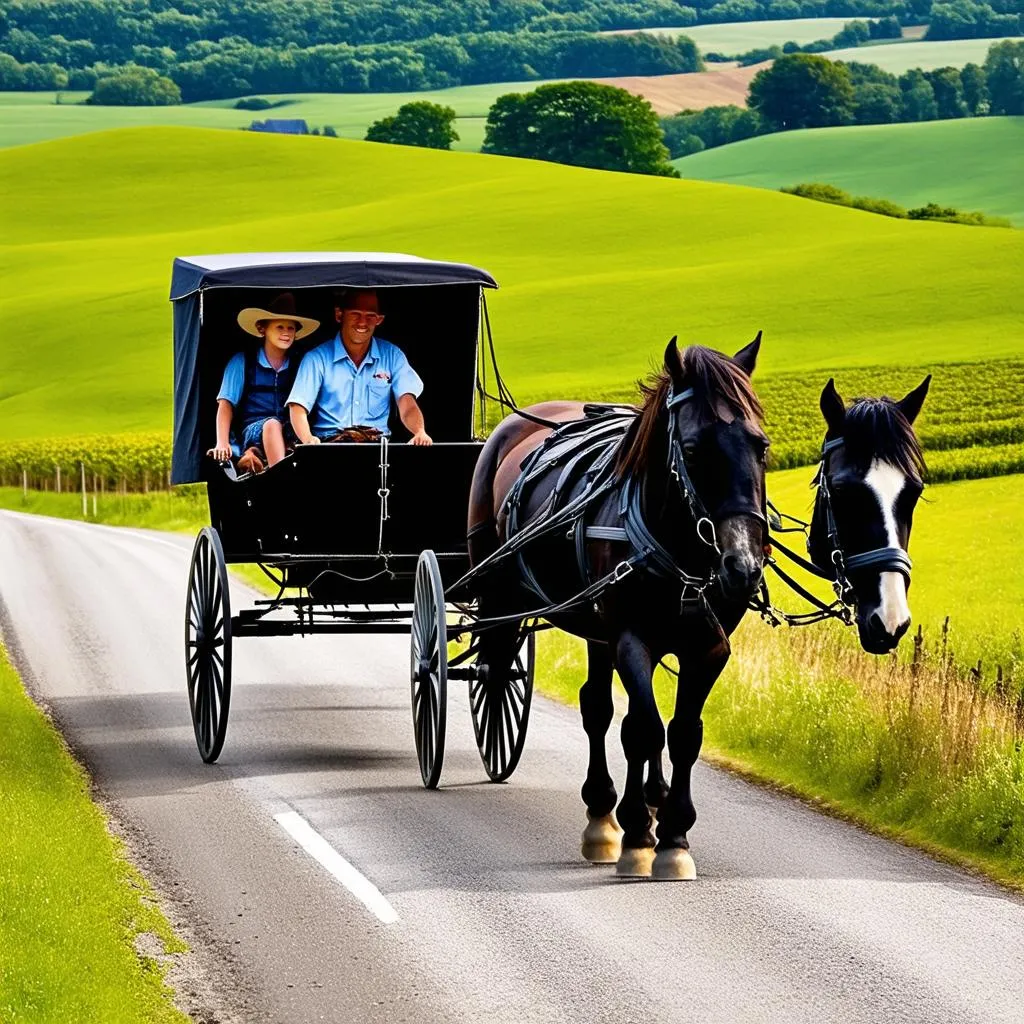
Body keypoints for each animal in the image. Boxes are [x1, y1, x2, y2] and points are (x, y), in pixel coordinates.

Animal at [466, 337, 770, 880]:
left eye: (761, 446)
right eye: (694, 449)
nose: (743, 566)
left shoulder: (708, 649)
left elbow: (682, 734)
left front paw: (672, 833)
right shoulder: (631, 638)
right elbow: (644, 730)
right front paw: (638, 835)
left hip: (596, 629)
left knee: (598, 706)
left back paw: (624, 806)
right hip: (504, 594)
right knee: (500, 671)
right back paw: (607, 814)